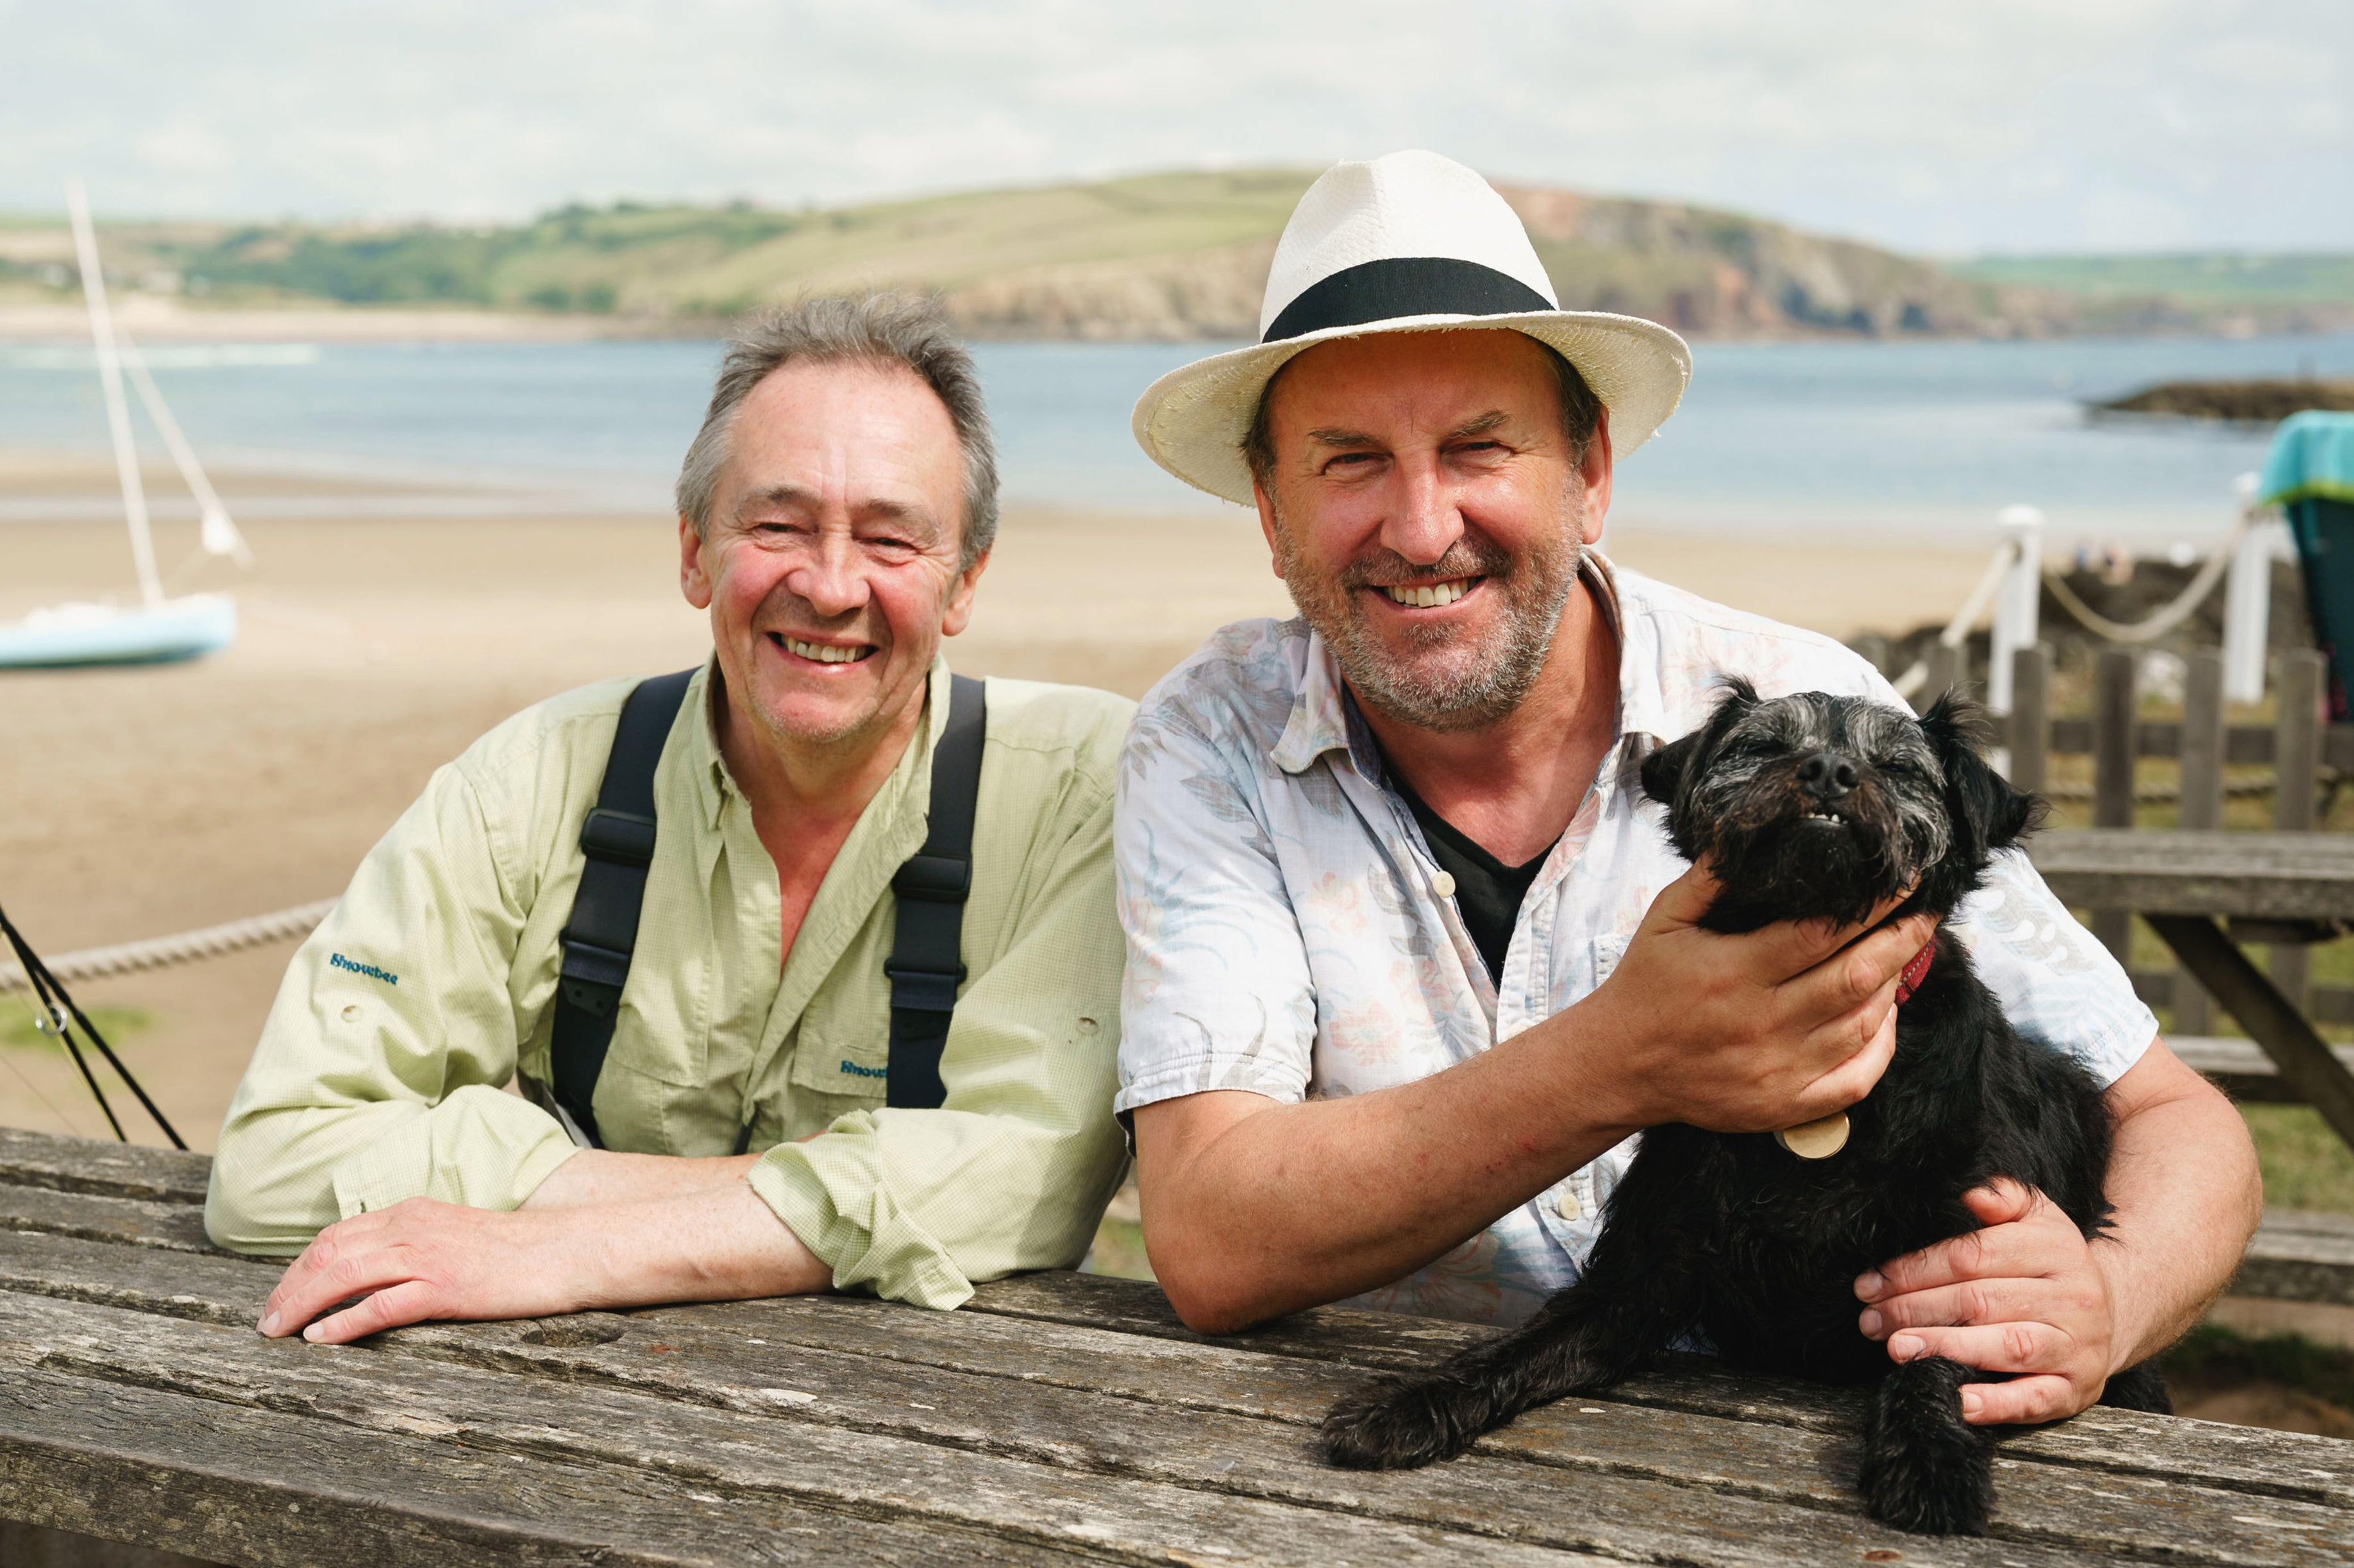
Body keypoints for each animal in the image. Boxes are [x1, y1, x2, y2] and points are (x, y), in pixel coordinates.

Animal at [1318, 673, 2156, 1525]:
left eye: (1895, 767)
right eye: (1765, 746)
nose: (1827, 771)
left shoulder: (1962, 1260)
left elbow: (1933, 1360)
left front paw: (1928, 1458)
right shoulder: (1637, 1273)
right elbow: (1521, 1345)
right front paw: (1411, 1400)